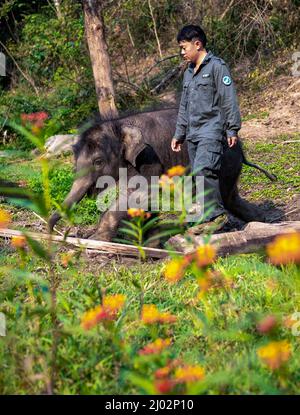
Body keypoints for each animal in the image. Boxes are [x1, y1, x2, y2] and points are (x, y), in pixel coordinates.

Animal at [48, 107, 274, 242]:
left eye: (98, 162)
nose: (51, 232)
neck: (119, 124)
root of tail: (239, 144)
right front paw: (149, 239)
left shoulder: (149, 158)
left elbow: (134, 194)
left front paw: (97, 239)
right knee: (229, 196)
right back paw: (262, 220)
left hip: (223, 159)